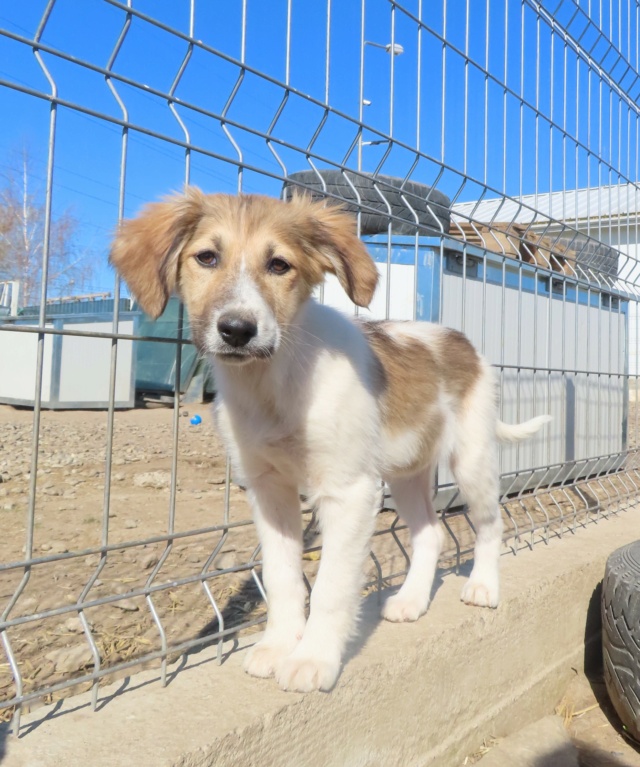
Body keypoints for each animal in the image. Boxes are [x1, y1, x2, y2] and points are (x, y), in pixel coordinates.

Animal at [111, 188, 552, 696]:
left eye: (279, 265)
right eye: (206, 257)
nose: (238, 330)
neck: (274, 380)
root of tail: (461, 340)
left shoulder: (349, 492)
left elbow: (330, 587)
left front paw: (312, 658)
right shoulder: (269, 491)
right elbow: (282, 579)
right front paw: (277, 646)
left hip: (471, 459)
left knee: (489, 524)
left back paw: (483, 587)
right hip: (406, 472)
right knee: (430, 533)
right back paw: (411, 600)